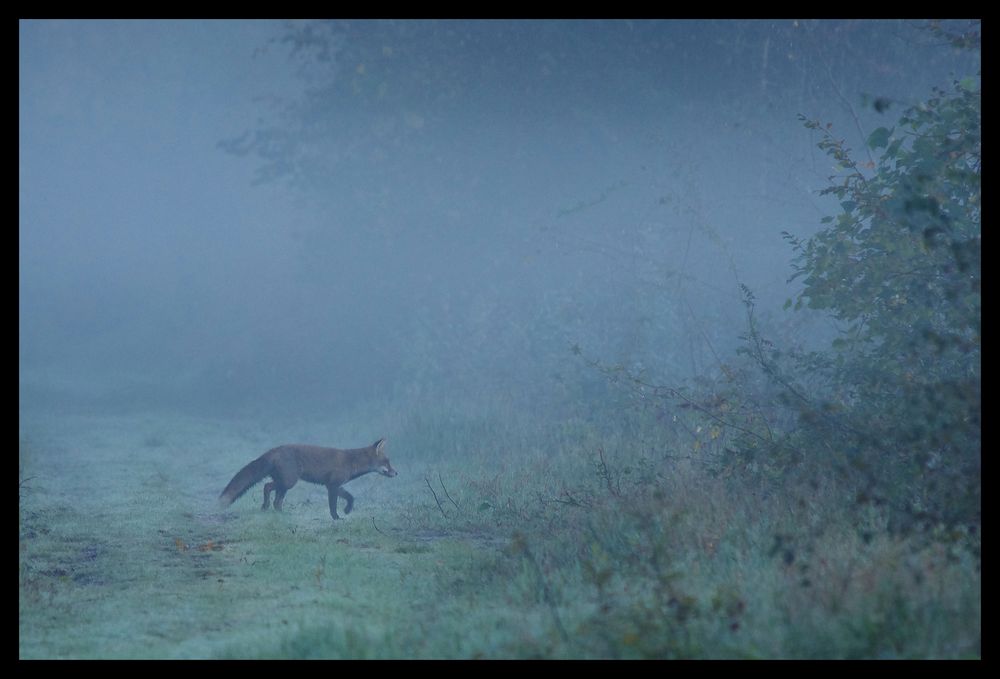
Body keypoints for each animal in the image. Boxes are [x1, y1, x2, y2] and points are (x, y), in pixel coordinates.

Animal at [221, 438, 396, 524]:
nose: (396, 472)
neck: (351, 462)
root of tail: (274, 450)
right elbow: (333, 506)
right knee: (267, 487)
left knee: (276, 500)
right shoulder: (332, 486)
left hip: (285, 484)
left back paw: (280, 513)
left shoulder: (334, 485)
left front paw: (346, 510)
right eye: (387, 462)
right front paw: (337, 518)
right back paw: (265, 506)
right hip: (289, 481)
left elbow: (350, 497)